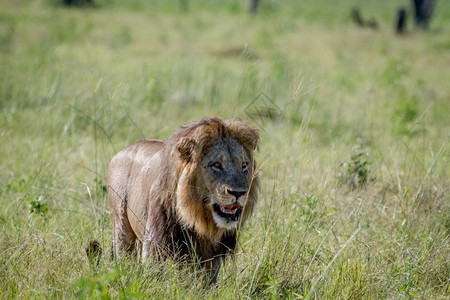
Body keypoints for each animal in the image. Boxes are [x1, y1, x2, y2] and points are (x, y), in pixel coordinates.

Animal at [107, 116, 258, 282]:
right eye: (216, 164)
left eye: (244, 165)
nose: (239, 193)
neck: (198, 216)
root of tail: (120, 152)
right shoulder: (155, 242)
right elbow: (154, 276)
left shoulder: (209, 254)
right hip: (121, 226)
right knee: (124, 256)